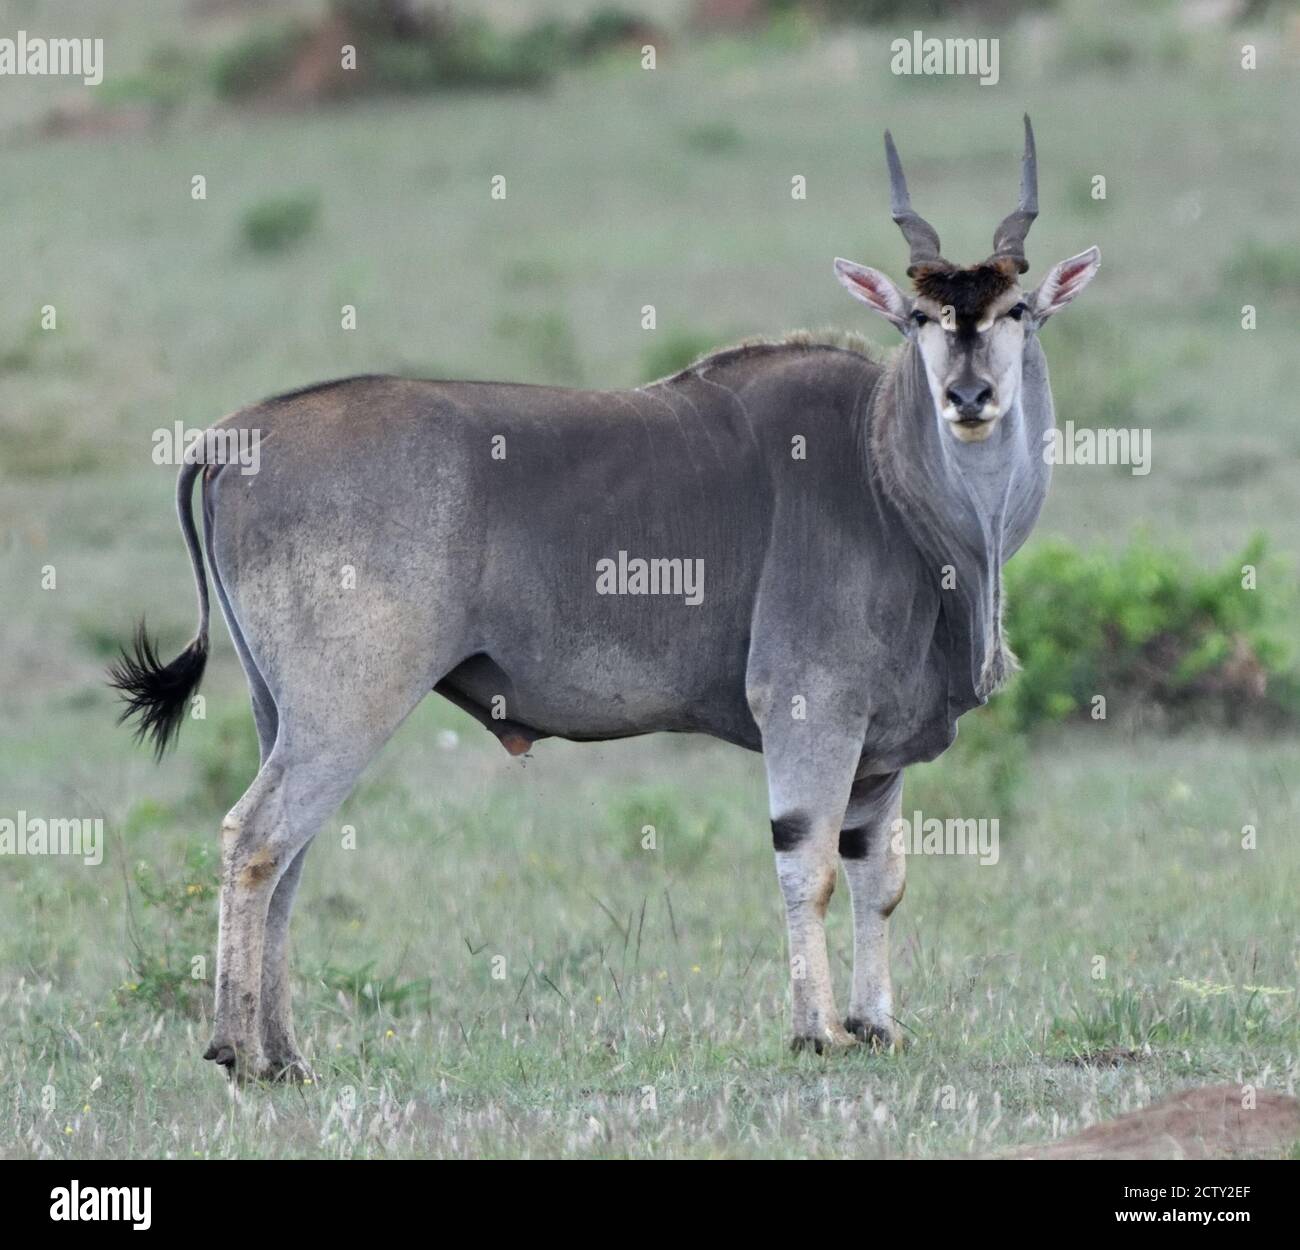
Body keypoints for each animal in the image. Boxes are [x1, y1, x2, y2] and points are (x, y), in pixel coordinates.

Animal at [111, 116, 1097, 1075]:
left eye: (1016, 310)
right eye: (921, 318)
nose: (969, 395)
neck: (885, 473)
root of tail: (236, 437)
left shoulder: (876, 751)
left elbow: (876, 880)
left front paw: (877, 1025)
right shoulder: (810, 710)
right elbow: (808, 864)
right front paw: (818, 1032)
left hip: (281, 711)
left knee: (290, 858)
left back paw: (285, 1054)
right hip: (347, 707)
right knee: (255, 840)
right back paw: (236, 1050)